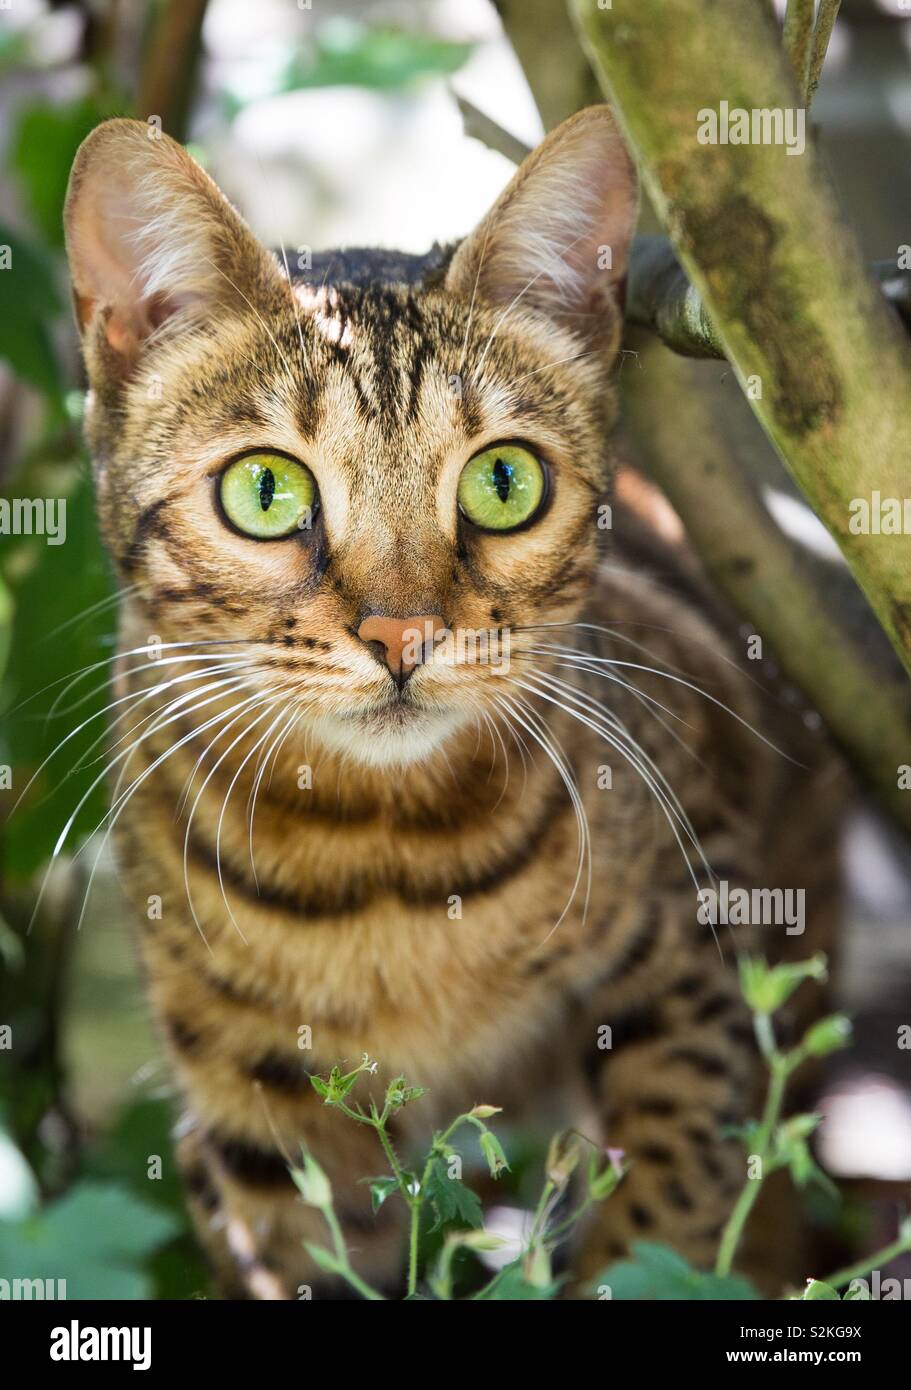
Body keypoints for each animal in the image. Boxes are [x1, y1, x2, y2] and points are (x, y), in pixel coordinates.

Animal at [62, 102, 840, 1295]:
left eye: (502, 482)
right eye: (264, 490)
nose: (402, 633)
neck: (383, 864)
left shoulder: (704, 934)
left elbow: (668, 1202)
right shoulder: (247, 1111)